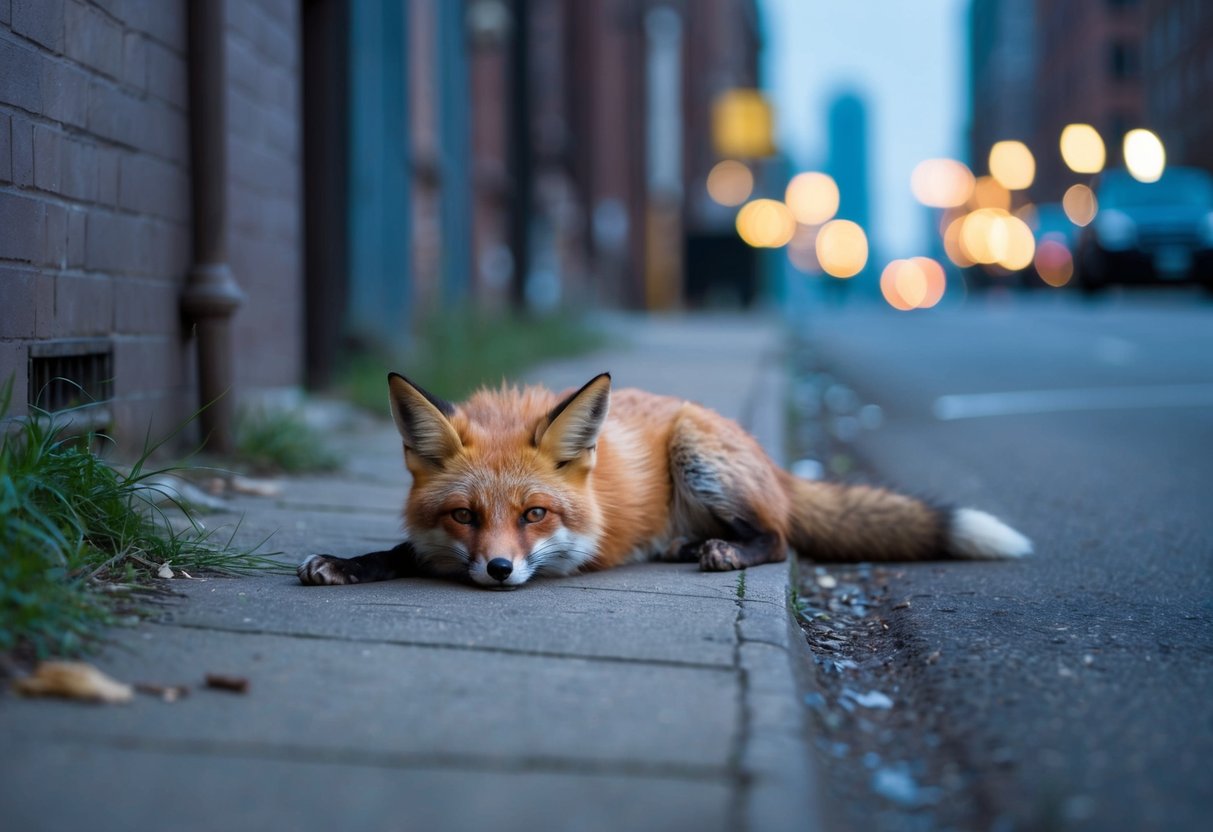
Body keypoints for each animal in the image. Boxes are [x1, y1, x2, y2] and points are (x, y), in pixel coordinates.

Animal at [298, 372, 1031, 589]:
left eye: (535, 514)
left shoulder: (573, 554)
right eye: (463, 516)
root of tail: (770, 457)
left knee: (780, 538)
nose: (499, 570)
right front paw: (352, 563)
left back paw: (720, 550)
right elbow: (405, 551)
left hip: (697, 454)